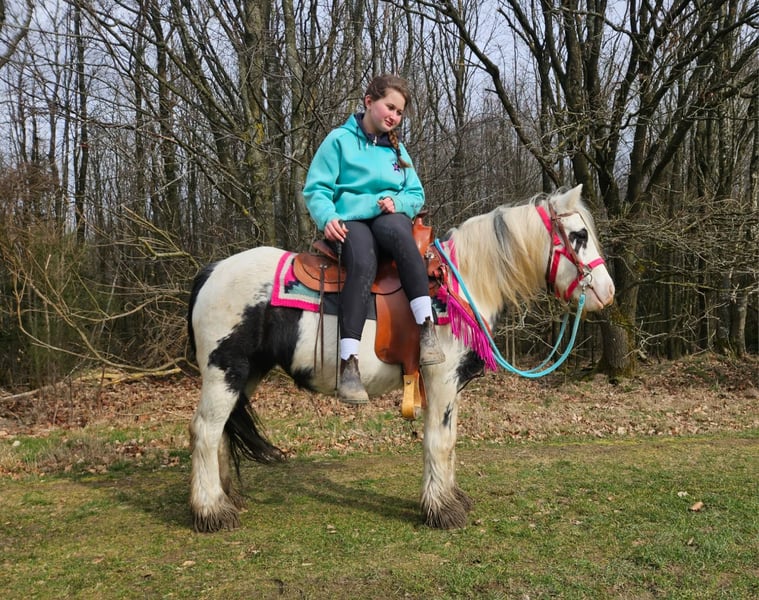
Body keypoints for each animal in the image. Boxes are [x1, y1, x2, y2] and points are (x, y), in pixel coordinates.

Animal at [187, 184, 615, 533]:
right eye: (578, 236)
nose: (607, 292)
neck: (459, 286)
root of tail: (212, 270)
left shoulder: (452, 387)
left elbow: (450, 440)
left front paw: (451, 499)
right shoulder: (441, 380)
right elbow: (438, 441)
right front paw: (442, 511)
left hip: (246, 373)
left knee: (219, 432)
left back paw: (224, 498)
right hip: (225, 370)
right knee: (205, 431)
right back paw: (211, 512)